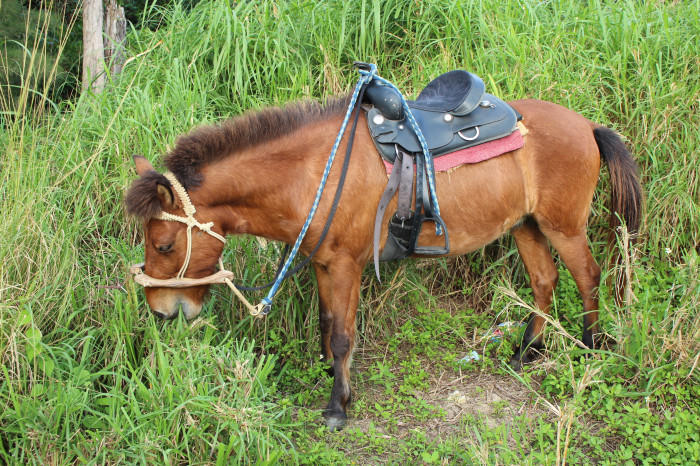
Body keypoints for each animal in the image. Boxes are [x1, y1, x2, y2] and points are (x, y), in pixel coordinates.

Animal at [124, 97, 640, 430]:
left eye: (164, 245)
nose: (160, 312)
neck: (313, 173)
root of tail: (587, 125)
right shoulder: (322, 264)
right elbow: (326, 323)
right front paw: (333, 380)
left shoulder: (346, 265)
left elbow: (341, 335)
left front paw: (338, 407)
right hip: (526, 225)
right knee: (544, 280)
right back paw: (527, 351)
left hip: (563, 226)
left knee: (587, 276)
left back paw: (591, 347)